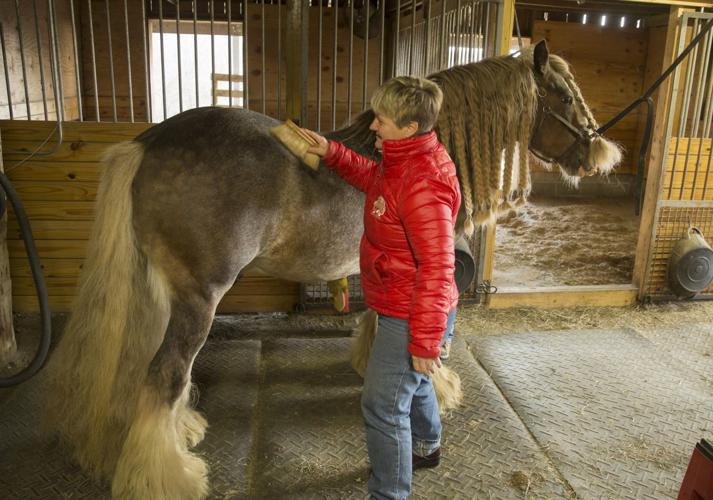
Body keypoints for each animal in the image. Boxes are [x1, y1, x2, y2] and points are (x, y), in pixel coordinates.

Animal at [45, 40, 621, 499]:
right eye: (565, 97)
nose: (600, 153)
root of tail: (147, 142)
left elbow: (379, 318)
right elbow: (432, 338)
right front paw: (440, 387)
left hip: (163, 291)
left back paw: (179, 431)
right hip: (199, 297)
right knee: (165, 373)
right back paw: (168, 477)